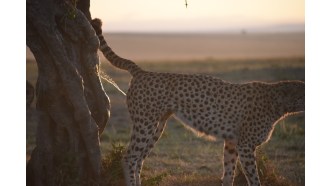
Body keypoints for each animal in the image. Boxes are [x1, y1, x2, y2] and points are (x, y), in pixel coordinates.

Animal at [90, 18, 304, 186]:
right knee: (129, 157)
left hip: (157, 126)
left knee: (139, 159)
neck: (279, 101)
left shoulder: (232, 142)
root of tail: (142, 71)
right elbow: (253, 177)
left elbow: (229, 173)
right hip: (145, 124)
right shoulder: (245, 145)